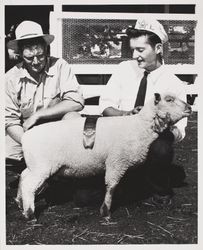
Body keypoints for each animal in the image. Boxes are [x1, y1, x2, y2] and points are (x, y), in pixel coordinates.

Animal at [15, 91, 191, 219]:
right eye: (169, 99)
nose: (189, 107)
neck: (138, 127)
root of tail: (25, 137)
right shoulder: (116, 162)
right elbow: (111, 186)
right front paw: (106, 211)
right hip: (42, 166)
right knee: (29, 185)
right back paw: (29, 214)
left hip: (35, 166)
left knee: (23, 176)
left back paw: (19, 202)